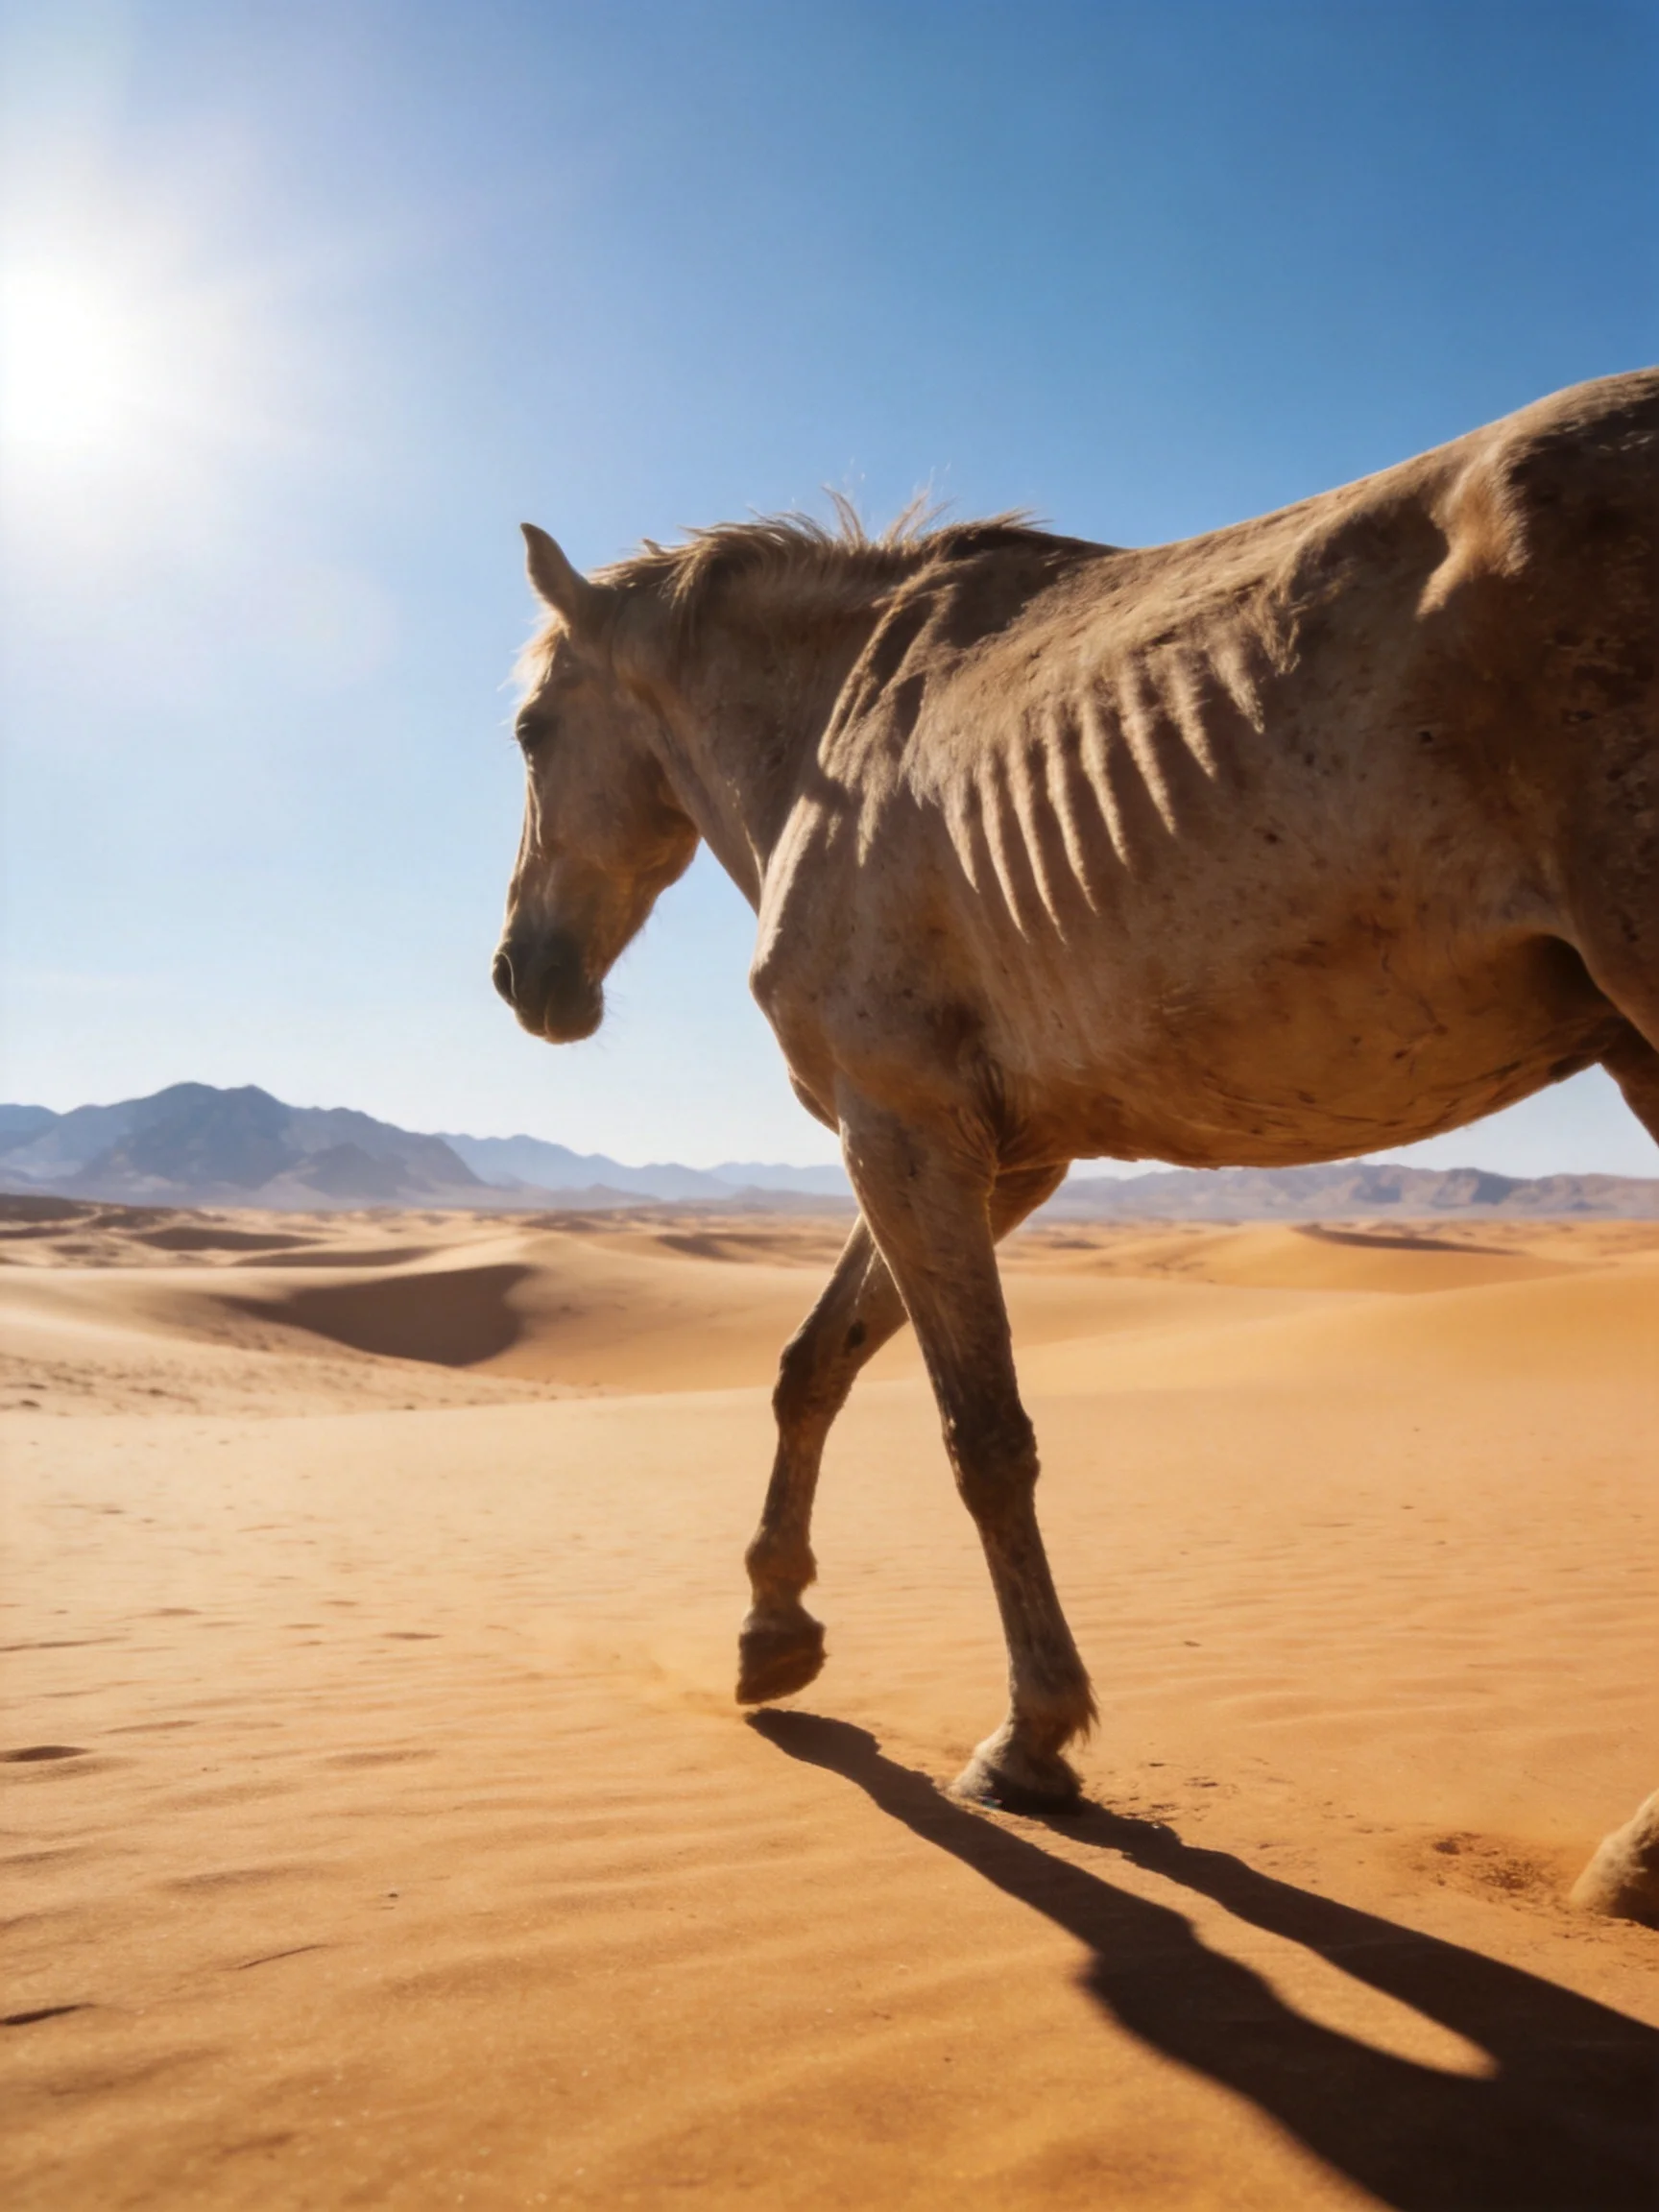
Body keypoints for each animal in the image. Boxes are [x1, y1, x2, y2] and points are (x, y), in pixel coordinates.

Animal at [493, 369, 1658, 1923]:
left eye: (529, 733)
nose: (526, 979)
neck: (829, 730)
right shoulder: (990, 1152)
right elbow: (814, 1367)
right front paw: (773, 1631)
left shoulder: (903, 1128)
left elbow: (980, 1435)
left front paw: (1031, 1742)